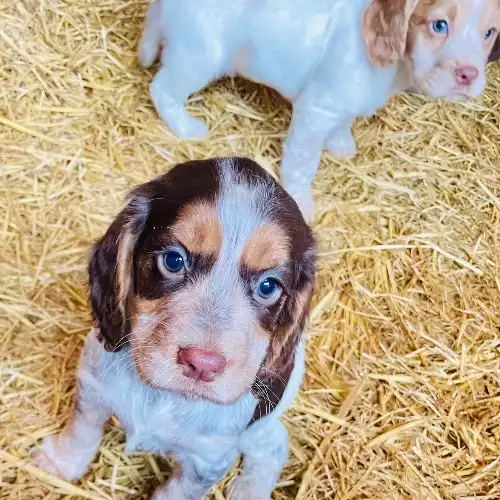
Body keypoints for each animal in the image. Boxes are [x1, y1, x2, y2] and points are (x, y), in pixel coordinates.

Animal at [32, 158, 316, 500]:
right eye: (173, 260)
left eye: (268, 286)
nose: (202, 363)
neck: (162, 396)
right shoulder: (93, 382)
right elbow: (82, 429)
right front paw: (58, 463)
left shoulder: (208, 458)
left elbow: (176, 492)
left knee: (274, 446)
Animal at [138, 0, 500, 219]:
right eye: (439, 25)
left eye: (489, 32)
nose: (469, 75)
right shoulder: (316, 110)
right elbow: (302, 161)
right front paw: (301, 202)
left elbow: (343, 125)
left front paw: (341, 146)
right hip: (199, 56)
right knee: (162, 88)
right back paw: (186, 127)